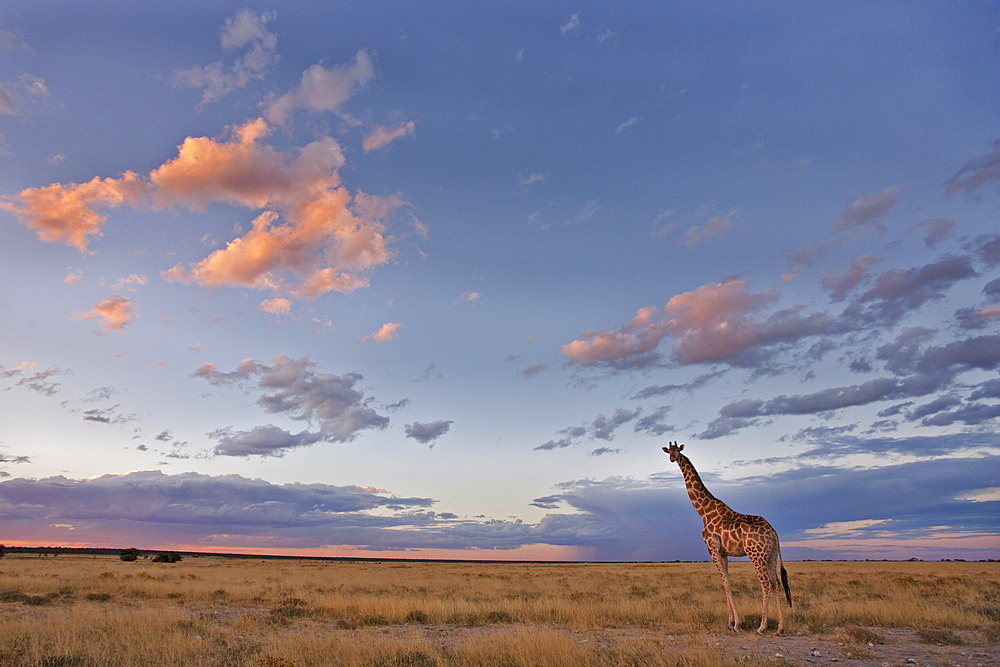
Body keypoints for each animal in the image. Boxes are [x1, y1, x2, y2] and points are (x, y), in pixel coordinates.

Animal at [660, 440, 792, 636]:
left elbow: (726, 584)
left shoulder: (712, 548)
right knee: (776, 583)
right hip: (771, 555)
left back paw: (762, 627)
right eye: (668, 450)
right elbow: (726, 583)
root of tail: (773, 533)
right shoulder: (724, 552)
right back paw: (780, 628)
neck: (704, 512)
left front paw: (737, 624)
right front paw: (731, 622)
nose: (671, 458)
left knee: (766, 584)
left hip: (756, 554)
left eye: (677, 450)